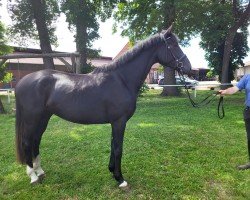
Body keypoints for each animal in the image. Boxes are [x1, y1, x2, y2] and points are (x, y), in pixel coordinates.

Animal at [15, 25, 191, 187]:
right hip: (32, 119)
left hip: (43, 118)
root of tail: (21, 82)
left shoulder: (115, 122)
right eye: (173, 45)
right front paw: (120, 179)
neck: (122, 79)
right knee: (27, 142)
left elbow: (113, 146)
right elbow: (118, 148)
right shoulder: (119, 121)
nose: (189, 68)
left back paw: (40, 171)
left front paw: (112, 172)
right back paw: (33, 177)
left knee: (36, 141)